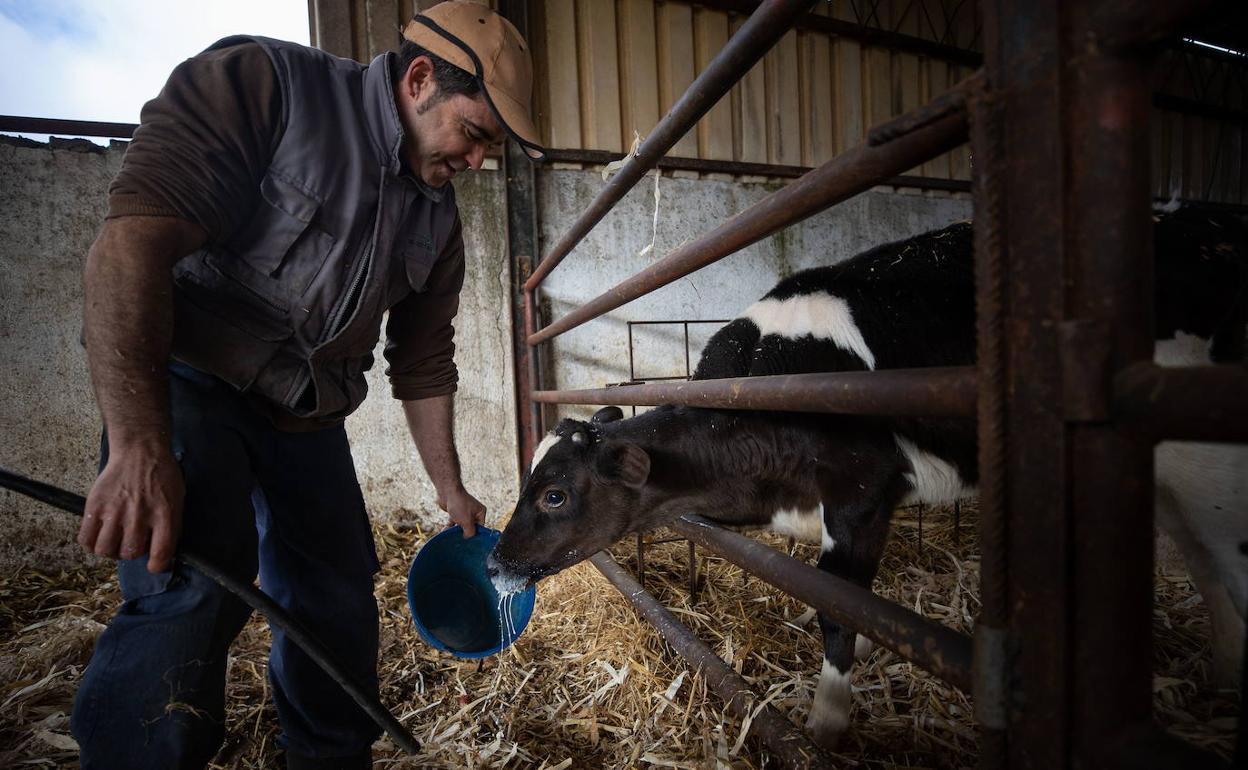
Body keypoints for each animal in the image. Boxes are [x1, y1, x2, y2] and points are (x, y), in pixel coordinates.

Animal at [488, 209, 1248, 748]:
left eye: (554, 494)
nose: (495, 563)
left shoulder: (862, 492)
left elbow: (839, 607)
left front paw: (826, 721)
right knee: (1206, 567)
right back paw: (1220, 675)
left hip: (1210, 466)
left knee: (1228, 564)